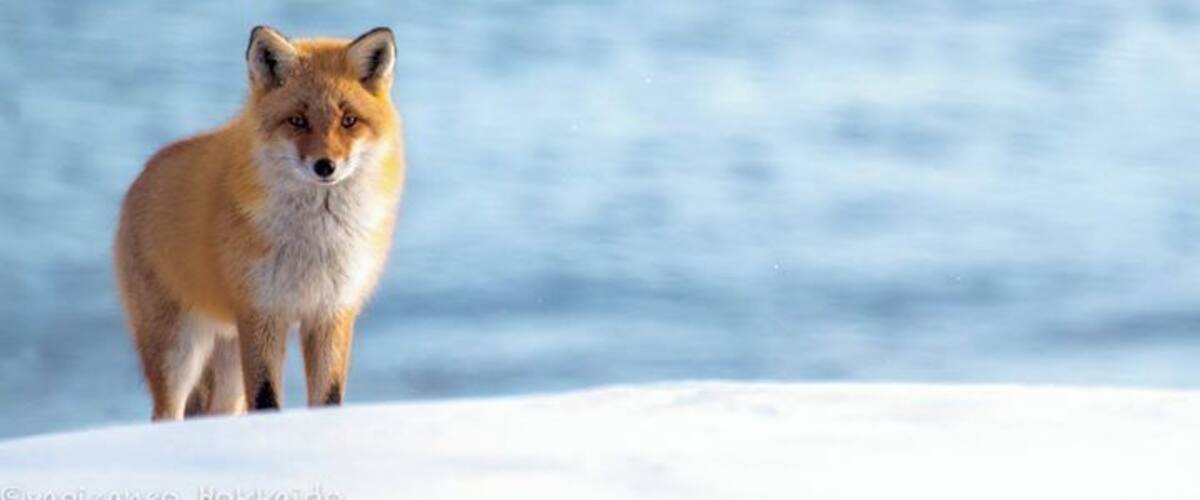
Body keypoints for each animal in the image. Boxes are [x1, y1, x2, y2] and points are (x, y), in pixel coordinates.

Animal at [114, 26, 405, 420]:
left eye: (349, 121)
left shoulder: (331, 313)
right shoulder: (263, 313)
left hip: (227, 364)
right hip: (179, 351)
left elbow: (329, 399)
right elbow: (267, 399)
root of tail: (141, 176)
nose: (325, 166)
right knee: (166, 413)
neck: (316, 240)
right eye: (297, 120)